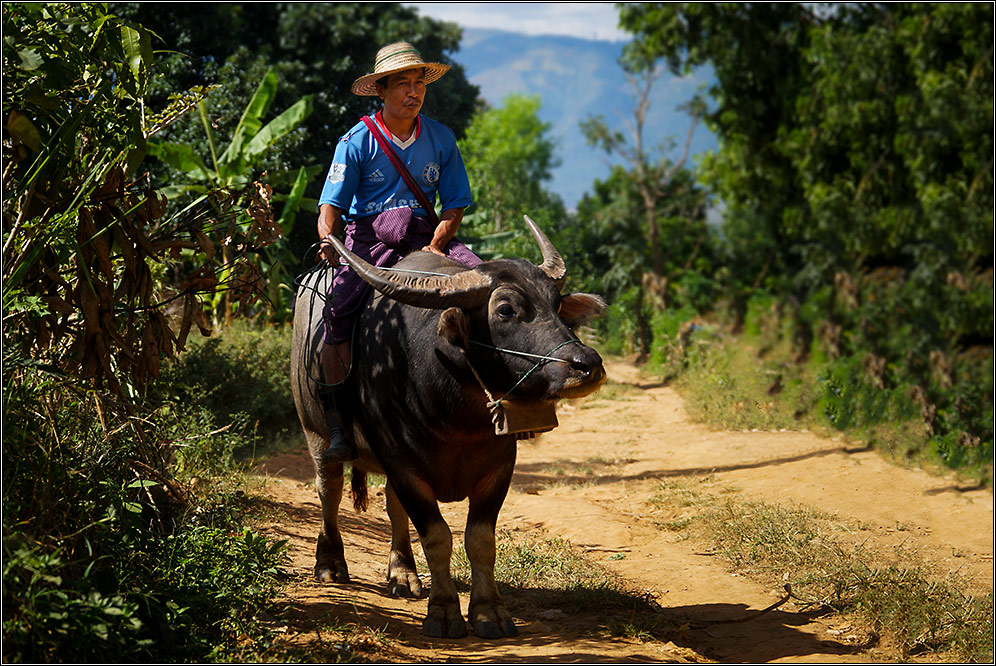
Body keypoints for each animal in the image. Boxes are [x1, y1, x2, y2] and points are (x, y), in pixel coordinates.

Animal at [292, 215, 608, 636]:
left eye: (556, 305)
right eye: (505, 310)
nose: (586, 364)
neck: (455, 414)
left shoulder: (498, 468)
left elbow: (480, 540)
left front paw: (489, 612)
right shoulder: (402, 463)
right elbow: (437, 536)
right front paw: (443, 612)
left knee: (392, 506)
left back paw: (402, 574)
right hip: (315, 433)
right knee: (329, 489)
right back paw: (330, 564)